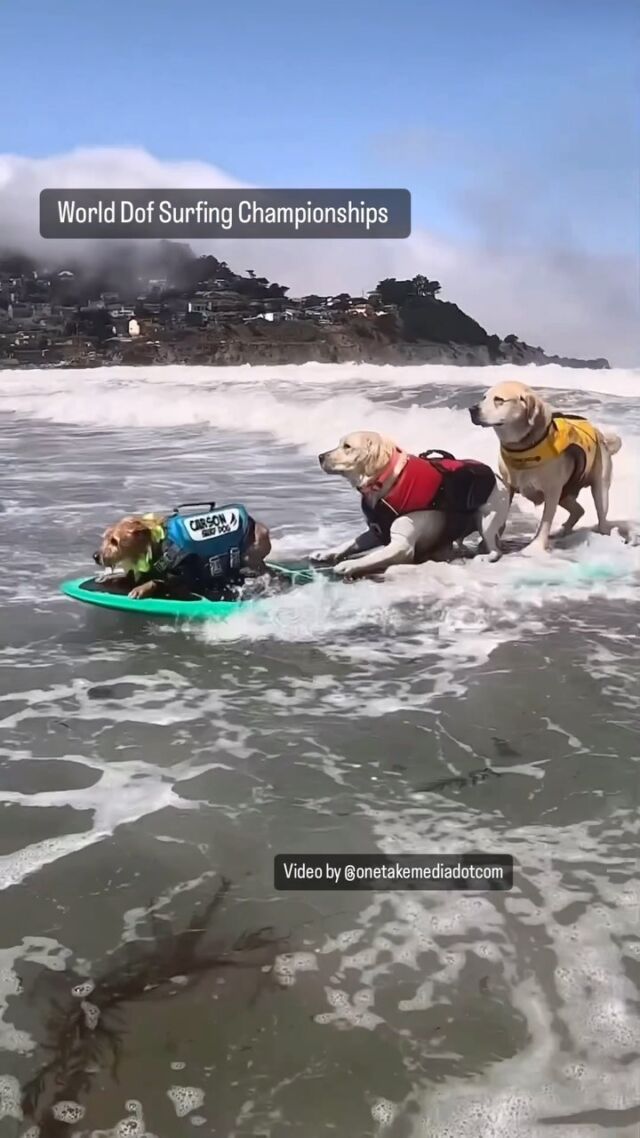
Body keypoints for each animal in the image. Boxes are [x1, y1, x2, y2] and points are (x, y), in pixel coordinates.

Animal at [94, 505, 271, 600]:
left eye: (114, 541)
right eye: (105, 538)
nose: (96, 556)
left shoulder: (184, 577)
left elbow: (161, 582)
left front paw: (141, 588)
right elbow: (126, 577)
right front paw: (109, 578)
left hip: (250, 553)